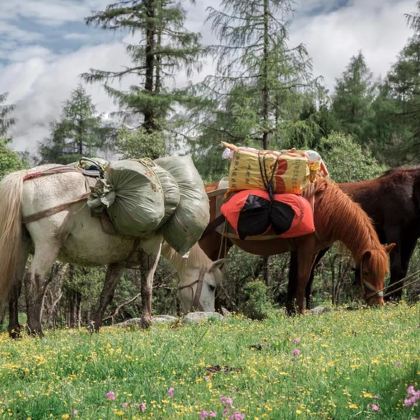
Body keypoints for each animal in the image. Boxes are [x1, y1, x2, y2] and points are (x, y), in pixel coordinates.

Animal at [0, 166, 225, 336]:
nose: (209, 314)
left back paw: (15, 330)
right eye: (212, 286)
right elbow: (146, 287)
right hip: (47, 247)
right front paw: (146, 323)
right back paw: (35, 330)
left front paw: (94, 326)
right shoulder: (151, 251)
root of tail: (26, 178)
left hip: (21, 249)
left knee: (15, 283)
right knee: (34, 280)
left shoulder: (118, 261)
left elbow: (106, 293)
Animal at [200, 176, 394, 312]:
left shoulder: (309, 251)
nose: (378, 303)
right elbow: (302, 278)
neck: (324, 209)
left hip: (221, 246)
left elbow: (299, 279)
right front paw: (301, 311)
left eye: (384, 273)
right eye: (366, 272)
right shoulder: (306, 249)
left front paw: (293, 310)